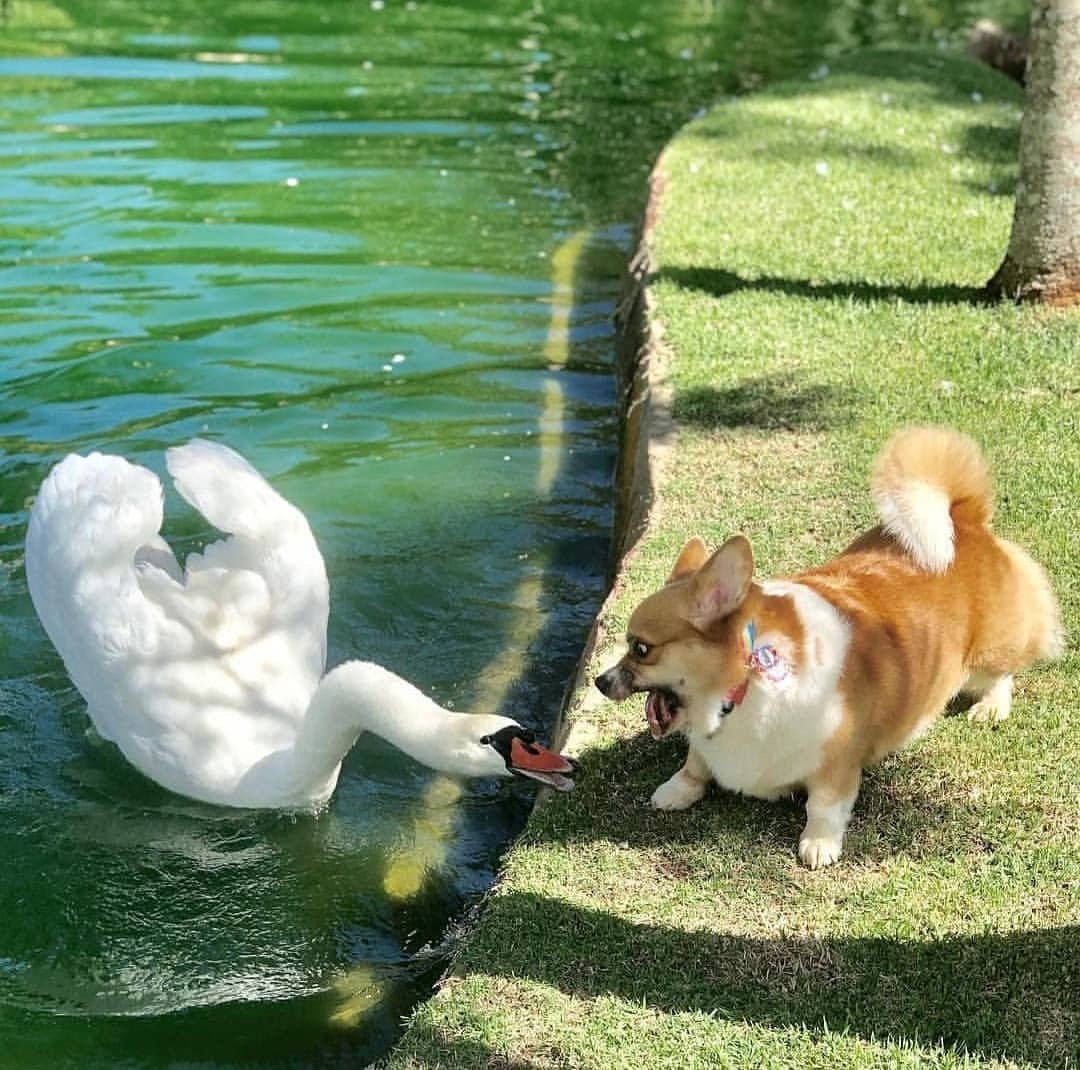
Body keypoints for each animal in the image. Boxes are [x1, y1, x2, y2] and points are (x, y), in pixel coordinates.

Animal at [600, 427, 1062, 872]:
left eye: (641, 648)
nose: (600, 681)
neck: (747, 683)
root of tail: (964, 518)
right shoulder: (705, 745)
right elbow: (694, 766)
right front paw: (674, 791)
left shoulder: (837, 764)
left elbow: (824, 805)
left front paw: (819, 844)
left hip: (991, 650)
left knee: (1003, 673)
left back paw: (991, 706)